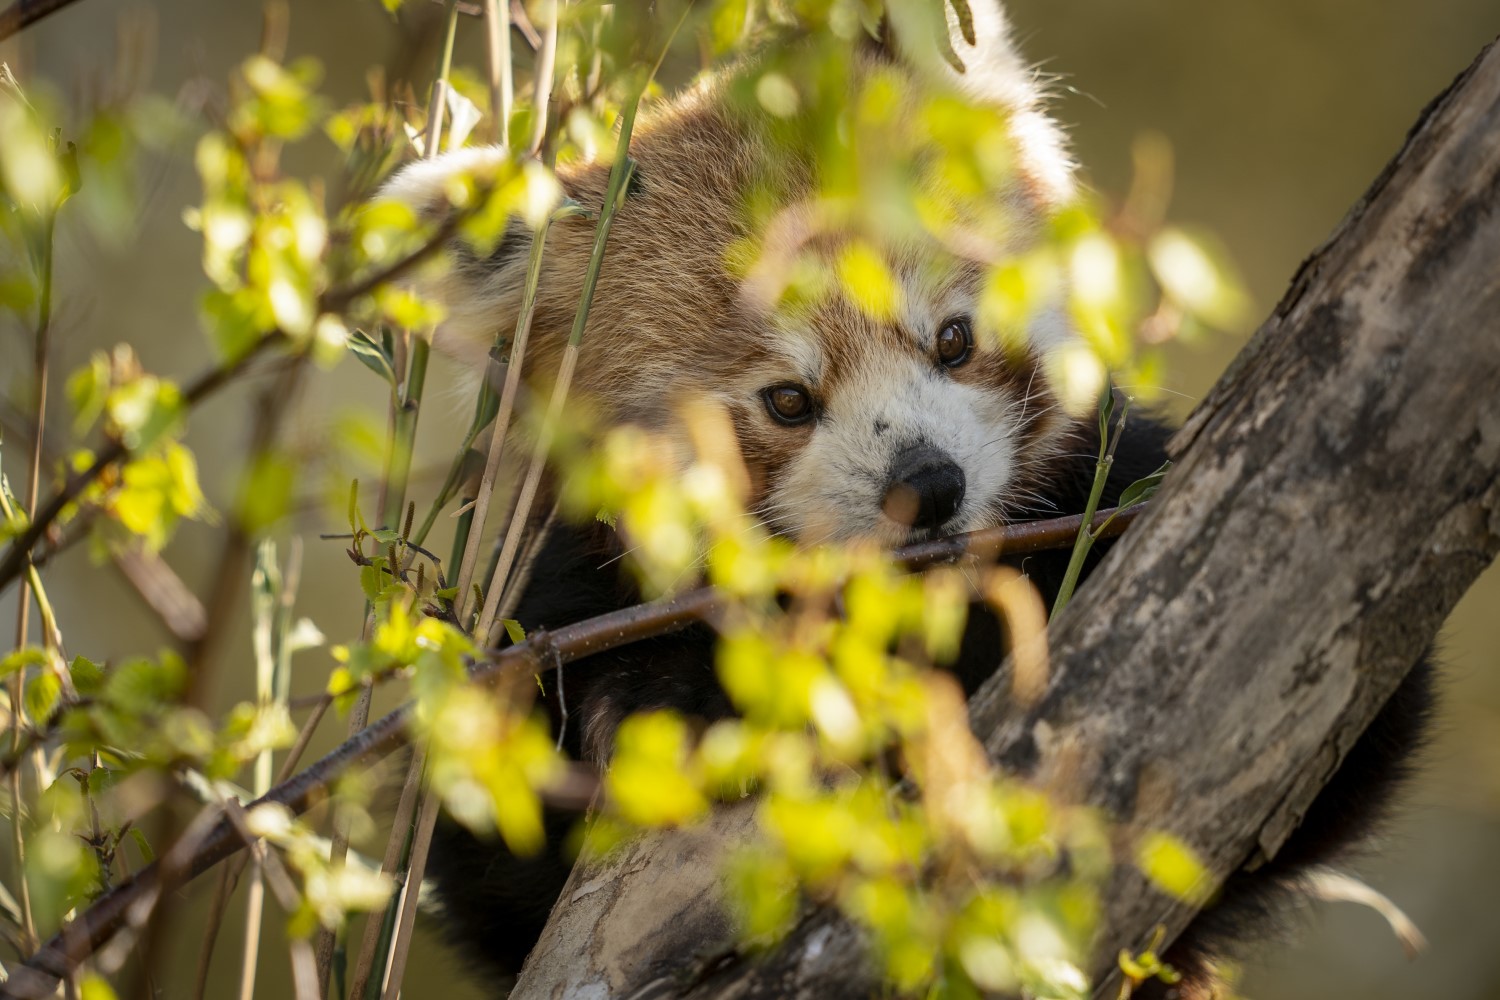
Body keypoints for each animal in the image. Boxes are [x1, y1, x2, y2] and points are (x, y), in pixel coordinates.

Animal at [384, 3, 1428, 995]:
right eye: (788, 400)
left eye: (954, 339)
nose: (927, 487)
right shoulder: (548, 604)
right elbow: (493, 857)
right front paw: (659, 696)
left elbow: (1342, 755)